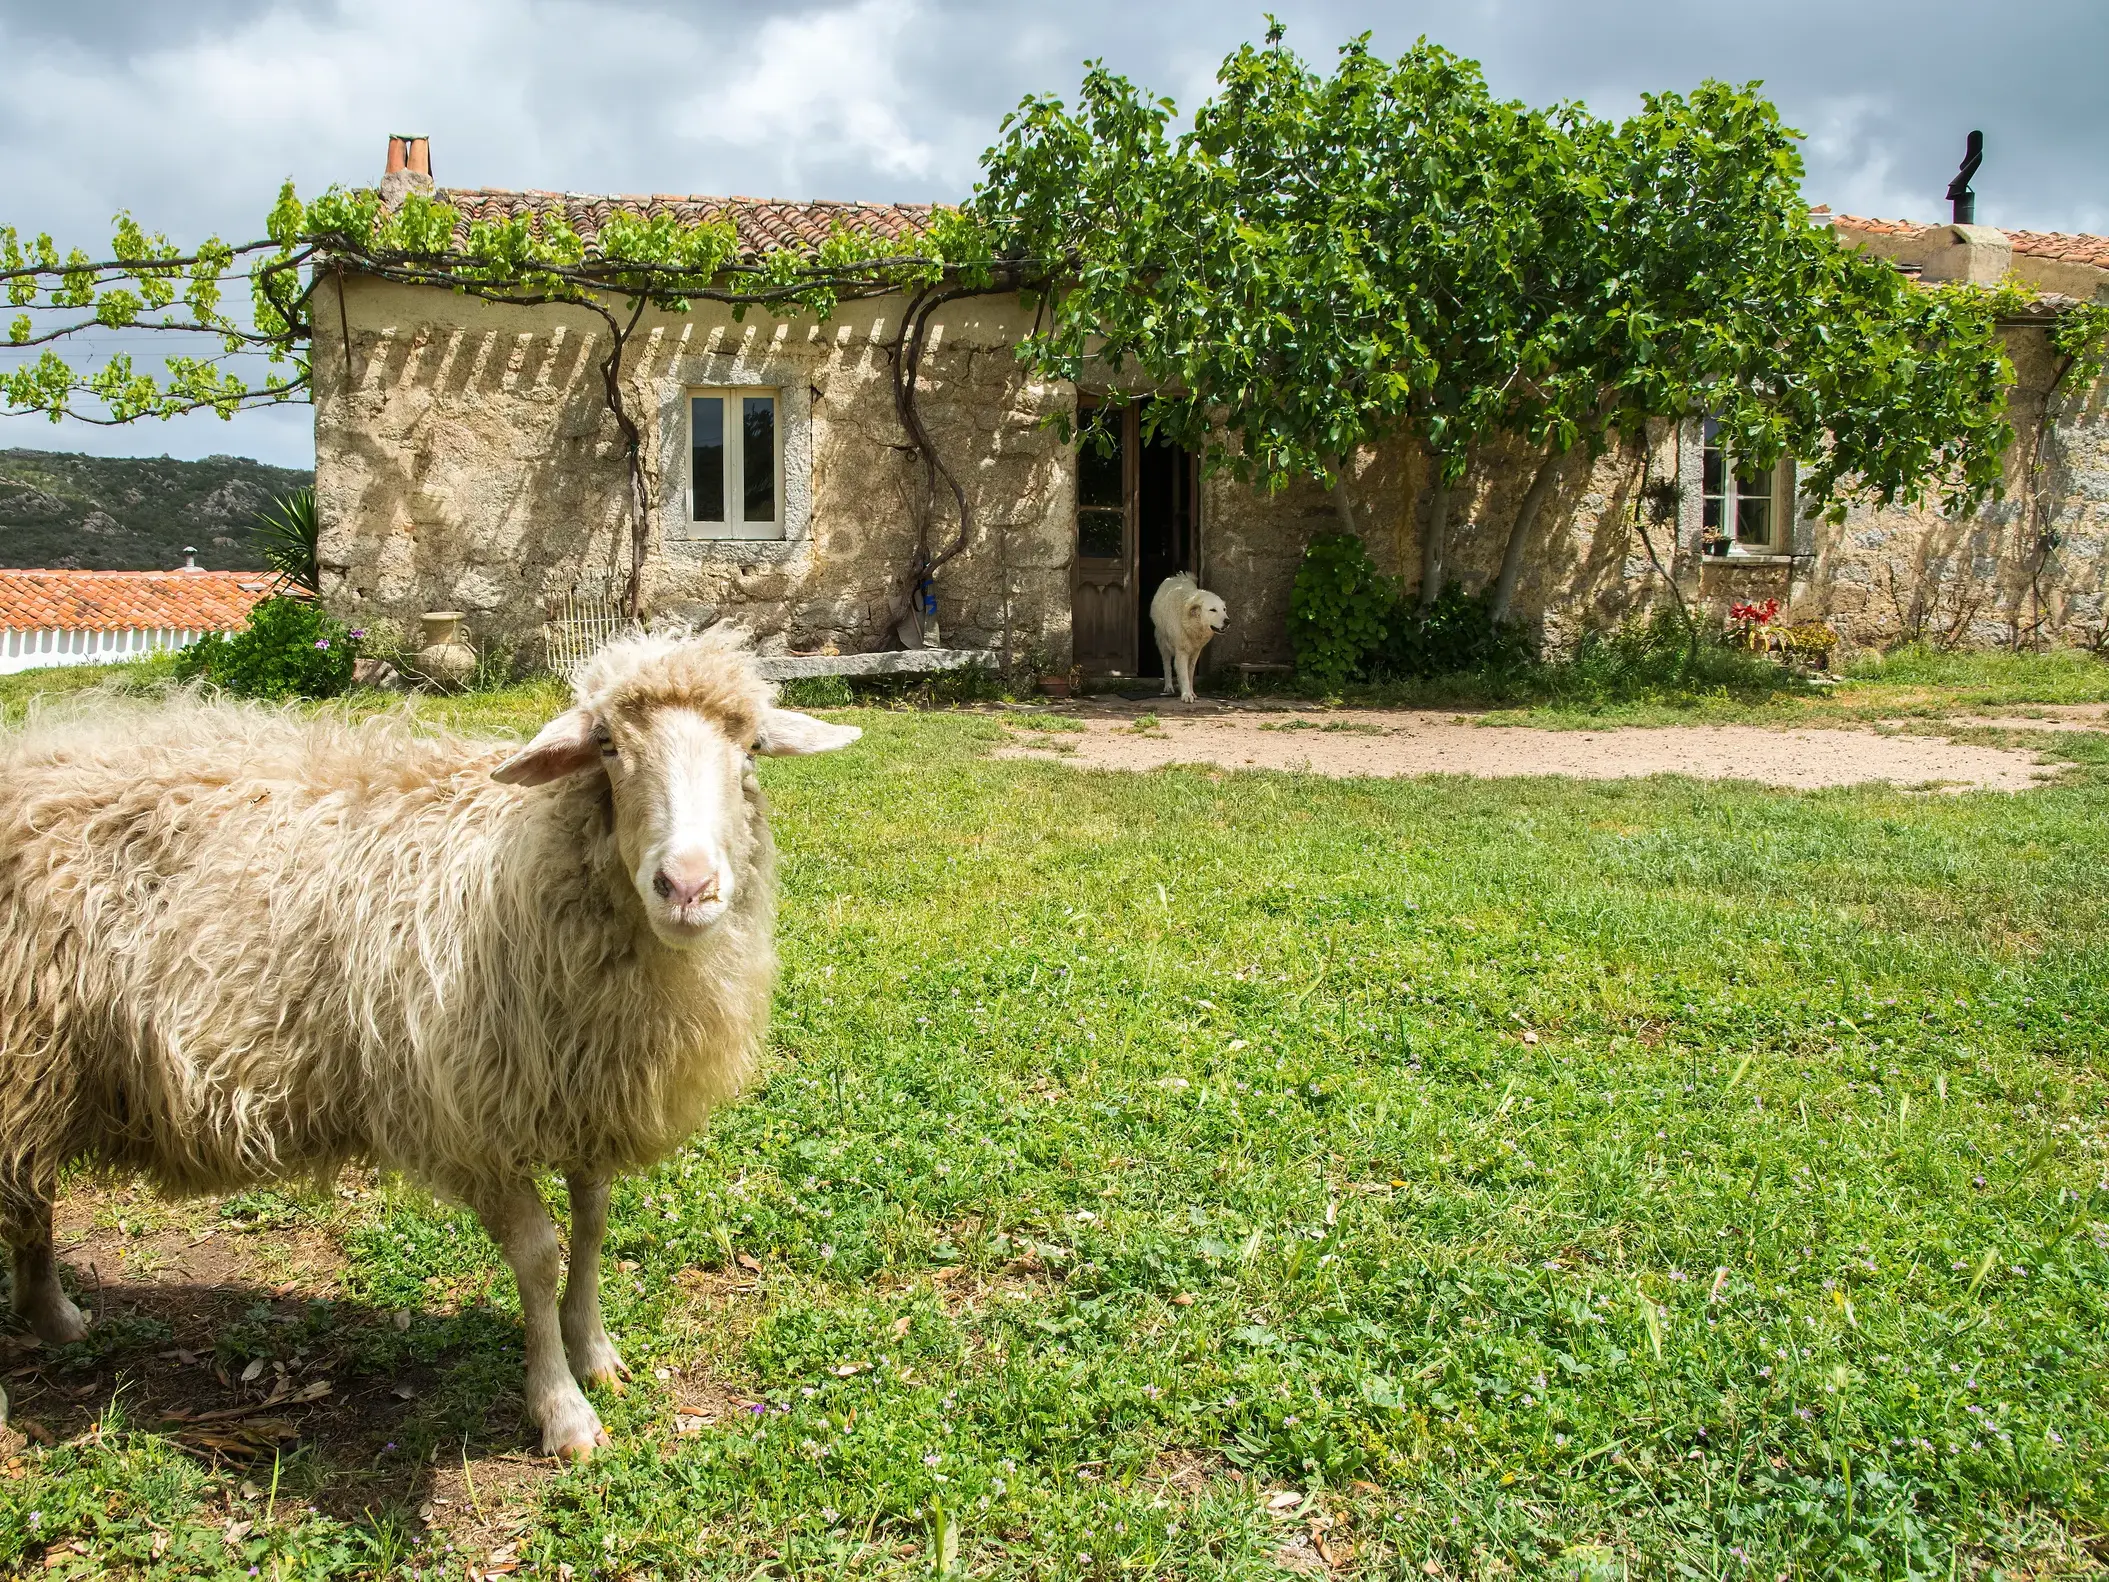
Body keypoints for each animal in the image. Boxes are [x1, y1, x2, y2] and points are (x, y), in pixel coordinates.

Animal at [0, 629, 858, 1460]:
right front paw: (561, 1411)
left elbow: (593, 1224)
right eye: (608, 746)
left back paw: (52, 1318)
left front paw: (594, 1352)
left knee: (31, 1190)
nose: (686, 887)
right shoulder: (469, 1120)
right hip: (27, 1058)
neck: (522, 868)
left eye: (750, 748)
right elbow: (538, 1255)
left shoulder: (584, 1094)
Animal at [1150, 572, 1230, 703]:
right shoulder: (1181, 652)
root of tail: (1179, 576)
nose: (1228, 621)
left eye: (1224, 609)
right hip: (1163, 643)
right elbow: (1183, 674)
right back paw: (1168, 687)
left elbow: (1190, 674)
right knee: (1167, 665)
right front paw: (1186, 695)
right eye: (1213, 610)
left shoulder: (1195, 652)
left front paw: (1191, 692)